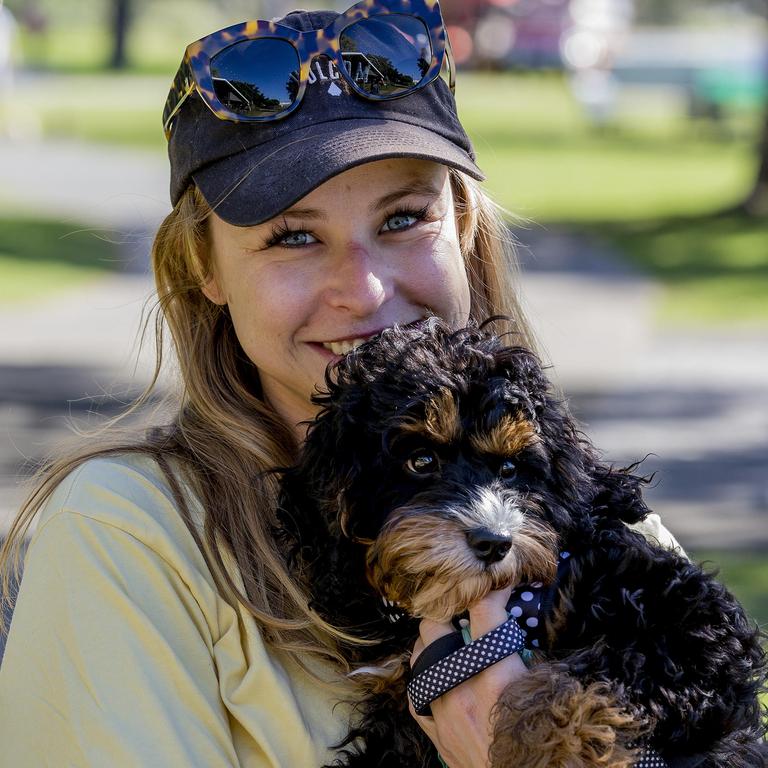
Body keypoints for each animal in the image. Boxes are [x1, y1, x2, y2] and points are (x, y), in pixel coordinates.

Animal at [278, 318, 768, 768]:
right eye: (421, 461)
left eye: (511, 469)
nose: (494, 541)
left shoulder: (691, 626)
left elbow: (576, 685)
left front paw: (543, 747)